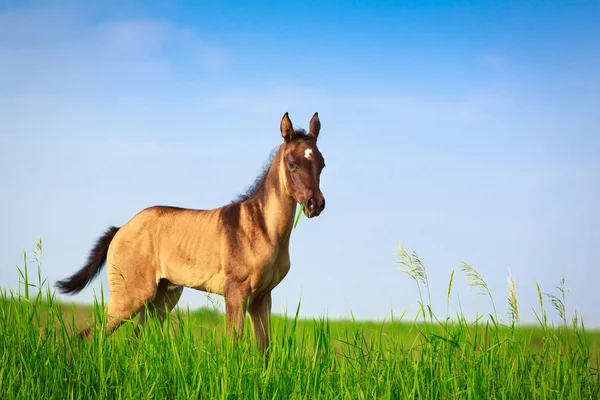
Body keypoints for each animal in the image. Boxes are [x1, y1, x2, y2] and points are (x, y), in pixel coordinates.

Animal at [55, 111, 326, 354]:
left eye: (321, 164)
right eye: (292, 163)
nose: (316, 204)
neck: (261, 228)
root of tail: (121, 229)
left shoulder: (262, 298)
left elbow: (264, 351)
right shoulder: (235, 293)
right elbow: (234, 347)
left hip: (161, 300)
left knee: (133, 342)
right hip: (129, 297)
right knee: (88, 336)